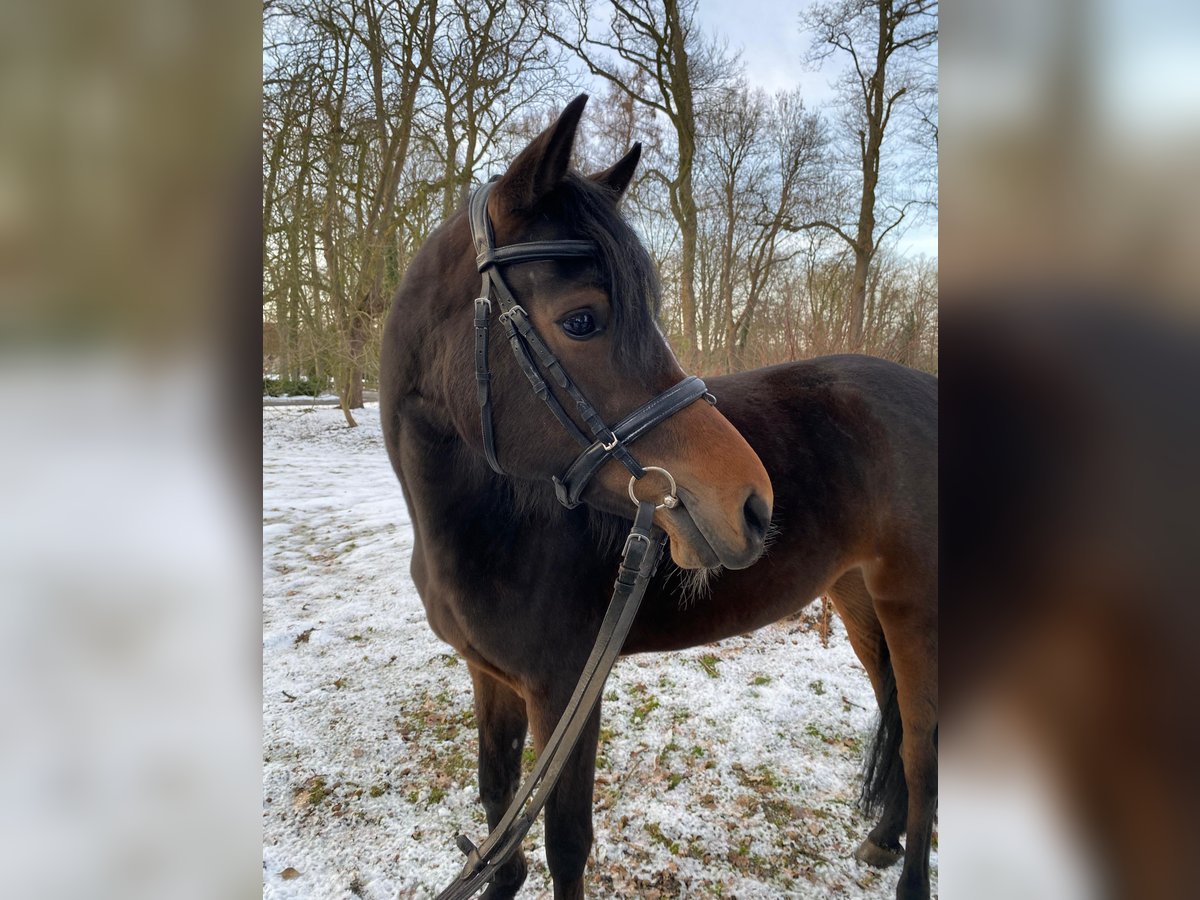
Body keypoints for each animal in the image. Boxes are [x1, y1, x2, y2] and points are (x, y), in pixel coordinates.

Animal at [380, 95, 938, 900]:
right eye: (582, 319)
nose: (753, 505)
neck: (488, 528)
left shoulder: (565, 694)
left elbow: (565, 843)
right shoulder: (491, 678)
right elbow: (497, 805)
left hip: (915, 610)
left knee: (923, 754)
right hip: (860, 599)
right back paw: (882, 839)